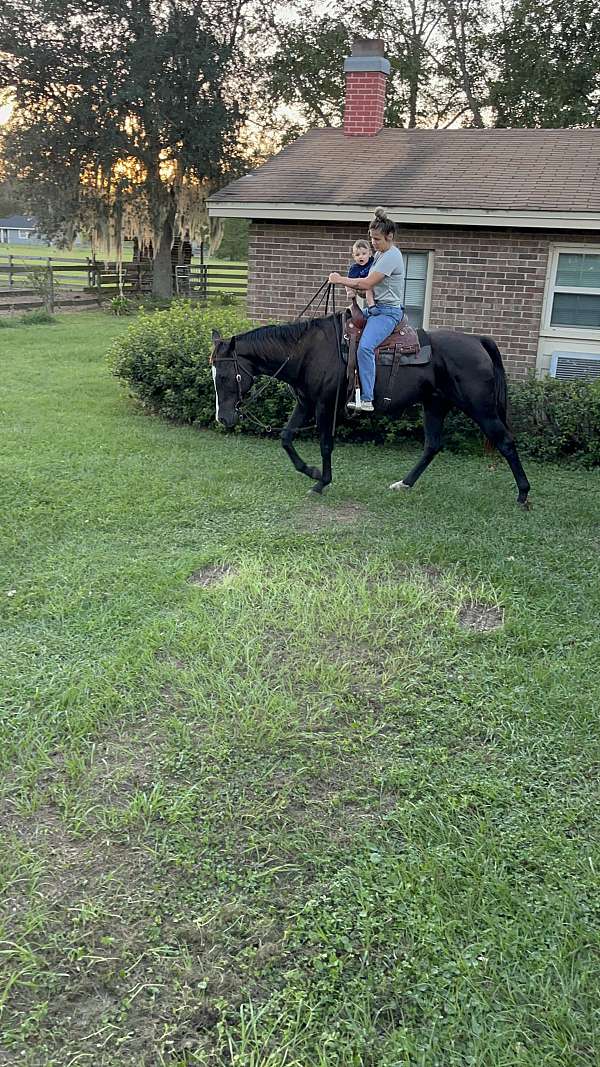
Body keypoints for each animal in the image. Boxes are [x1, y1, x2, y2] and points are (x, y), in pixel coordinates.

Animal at [210, 311, 527, 505]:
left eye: (224, 376)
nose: (223, 418)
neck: (307, 352)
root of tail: (478, 341)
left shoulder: (325, 405)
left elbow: (325, 444)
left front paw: (321, 481)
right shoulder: (306, 403)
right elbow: (286, 437)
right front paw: (310, 471)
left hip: (481, 409)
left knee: (506, 442)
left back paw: (523, 495)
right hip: (435, 405)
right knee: (432, 445)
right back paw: (404, 483)